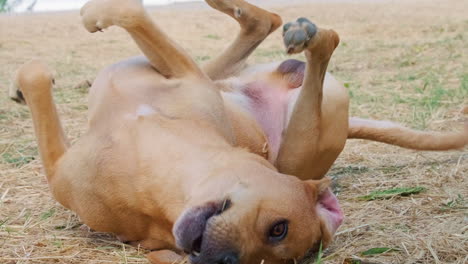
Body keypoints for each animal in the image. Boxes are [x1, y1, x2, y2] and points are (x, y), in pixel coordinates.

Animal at [8, 0, 468, 264]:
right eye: (278, 227)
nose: (217, 260)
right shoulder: (186, 74)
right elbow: (134, 13)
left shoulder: (59, 168)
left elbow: (40, 74)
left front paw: (36, 72)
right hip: (225, 79)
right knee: (270, 25)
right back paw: (301, 33)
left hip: (301, 140)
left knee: (306, 36)